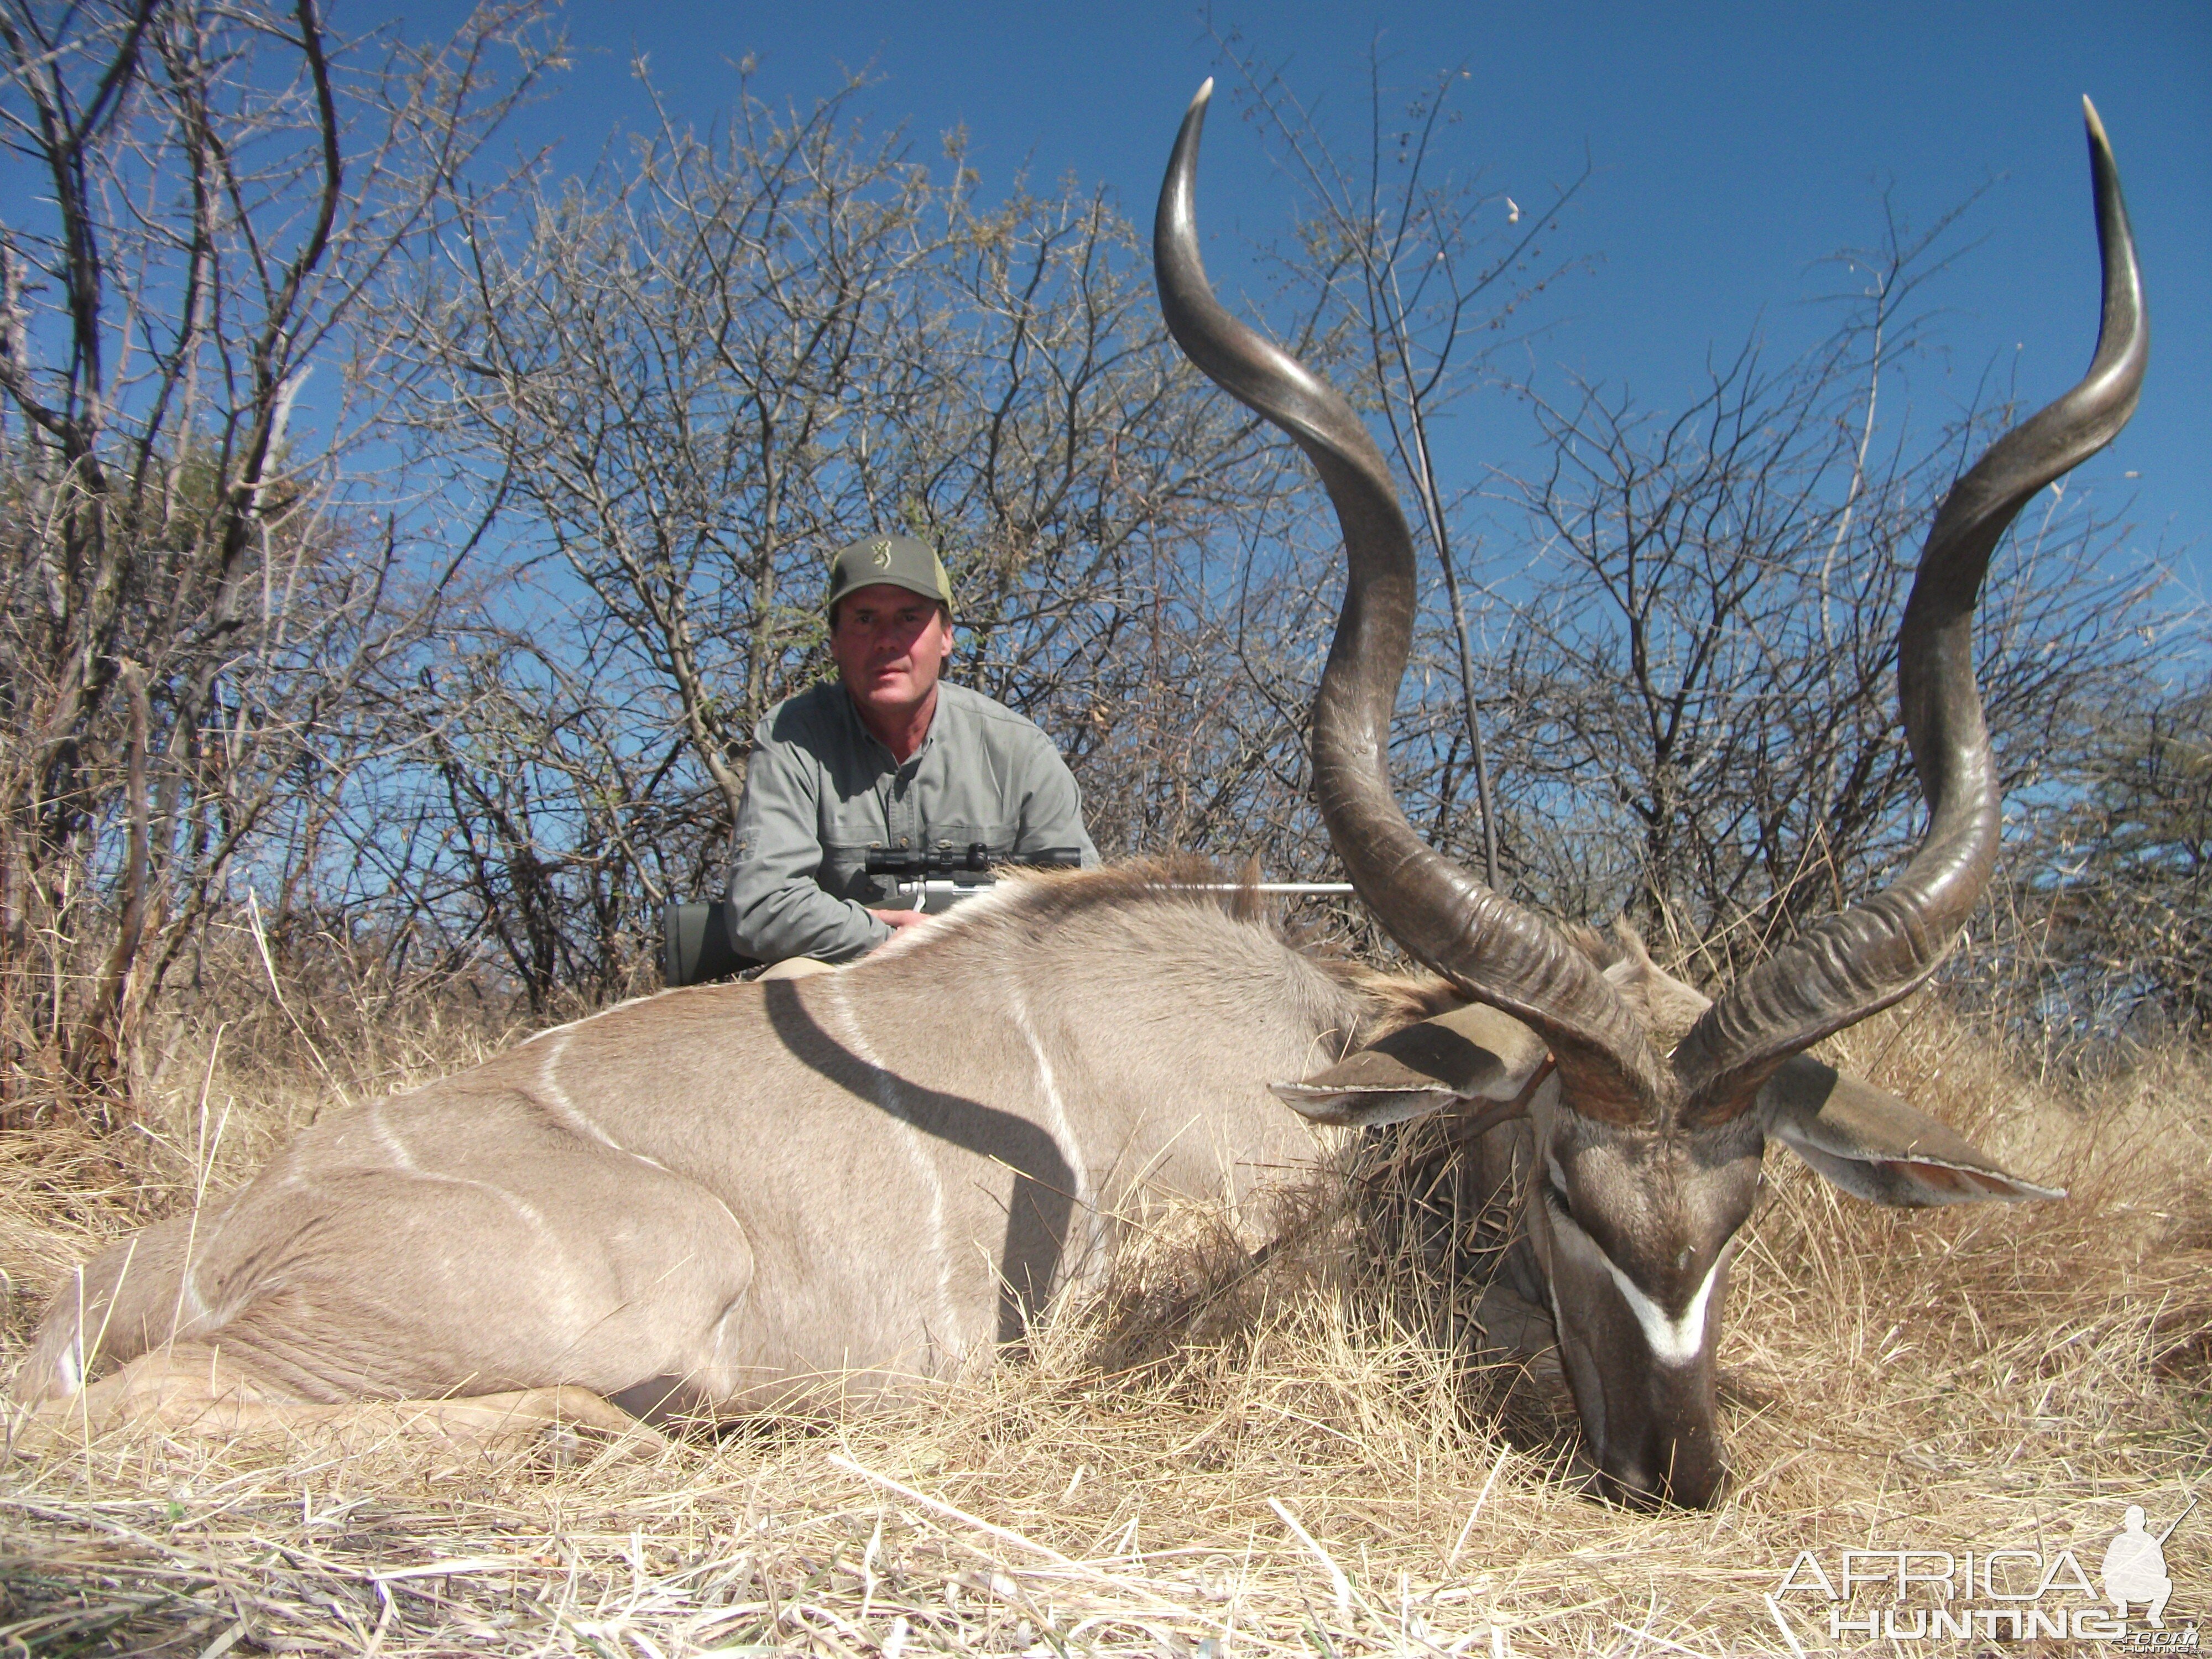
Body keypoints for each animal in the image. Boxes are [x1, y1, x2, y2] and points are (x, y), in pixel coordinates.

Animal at [8, 85, 2132, 1504]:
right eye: (1560, 1177)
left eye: (1747, 1194)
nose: (1671, 1470)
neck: (1320, 1053)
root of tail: (136, 1265)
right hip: (627, 1288)